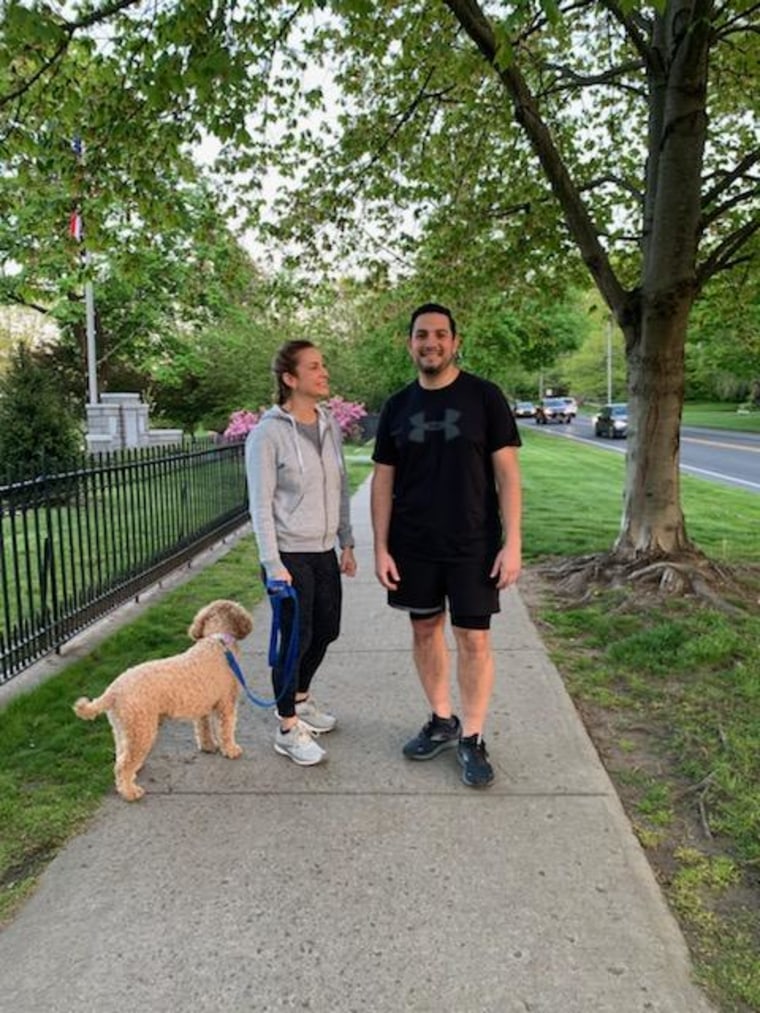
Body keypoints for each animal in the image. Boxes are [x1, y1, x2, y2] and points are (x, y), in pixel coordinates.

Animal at [73, 599, 253, 798]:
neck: (217, 641)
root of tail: (113, 691)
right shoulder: (226, 704)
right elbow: (226, 730)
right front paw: (231, 750)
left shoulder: (203, 707)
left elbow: (204, 729)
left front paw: (208, 747)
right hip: (141, 728)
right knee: (123, 765)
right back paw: (130, 791)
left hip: (123, 727)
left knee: (120, 755)